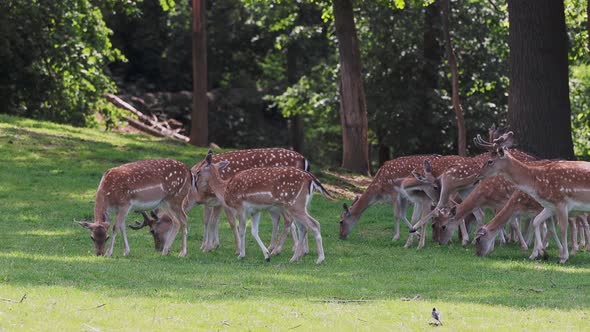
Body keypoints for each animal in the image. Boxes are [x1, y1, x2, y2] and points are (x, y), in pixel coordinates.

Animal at [198, 153, 336, 264]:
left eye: (198, 171)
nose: (196, 185)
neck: (225, 189)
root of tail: (311, 179)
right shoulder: (255, 210)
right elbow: (254, 231)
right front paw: (266, 255)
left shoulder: (240, 206)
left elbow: (242, 230)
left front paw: (241, 255)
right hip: (298, 206)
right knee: (303, 228)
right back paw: (294, 258)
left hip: (295, 205)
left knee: (314, 224)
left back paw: (319, 259)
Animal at [476, 131, 590, 264]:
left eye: (490, 161)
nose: (478, 175)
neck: (536, 182)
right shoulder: (550, 206)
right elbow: (537, 222)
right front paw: (542, 252)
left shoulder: (561, 202)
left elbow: (562, 228)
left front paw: (563, 257)